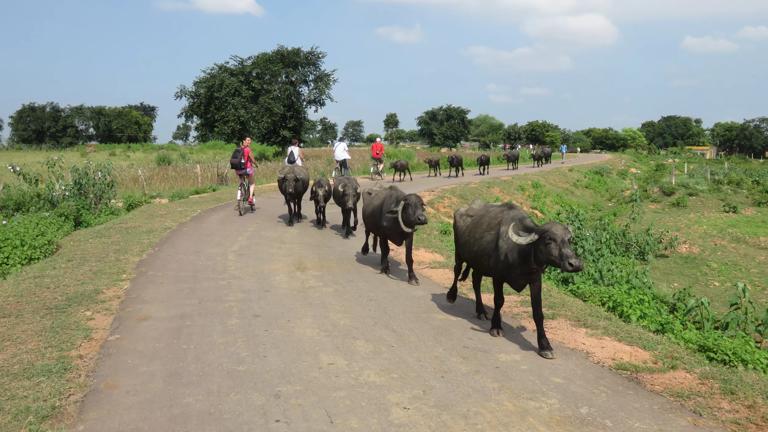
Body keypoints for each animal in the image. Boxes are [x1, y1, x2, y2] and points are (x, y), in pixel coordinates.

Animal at [444, 201, 584, 360]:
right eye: (549, 239)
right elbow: (499, 301)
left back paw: (481, 311)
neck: (521, 253)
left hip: (479, 264)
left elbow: (538, 312)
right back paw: (451, 296)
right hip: (459, 254)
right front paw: (496, 327)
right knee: (456, 271)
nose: (575, 264)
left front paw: (545, 346)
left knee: (476, 281)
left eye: (569, 240)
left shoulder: (535, 281)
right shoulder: (498, 277)